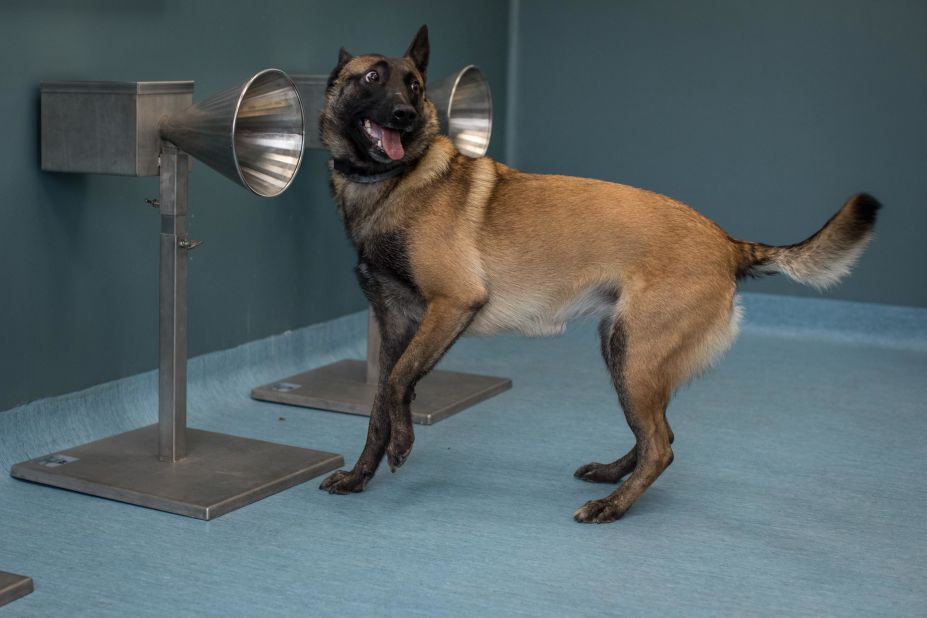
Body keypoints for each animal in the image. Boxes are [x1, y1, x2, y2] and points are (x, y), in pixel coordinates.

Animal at [316, 26, 880, 524]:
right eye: (372, 78)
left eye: (413, 84)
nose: (405, 115)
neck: (393, 184)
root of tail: (727, 243)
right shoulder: (395, 326)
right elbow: (379, 404)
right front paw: (360, 476)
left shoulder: (452, 304)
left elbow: (398, 385)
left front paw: (403, 443)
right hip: (624, 353)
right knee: (661, 435)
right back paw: (613, 475)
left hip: (634, 357)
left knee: (661, 446)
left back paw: (613, 507)